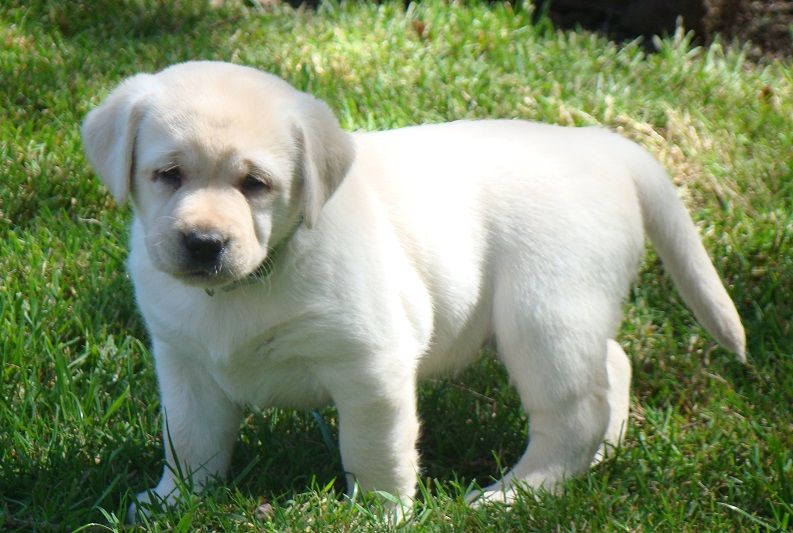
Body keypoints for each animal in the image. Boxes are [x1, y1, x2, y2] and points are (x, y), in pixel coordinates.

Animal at [81, 61, 745, 518]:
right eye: (168, 174)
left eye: (255, 184)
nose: (203, 243)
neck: (256, 278)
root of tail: (604, 145)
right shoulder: (185, 364)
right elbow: (191, 442)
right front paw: (173, 503)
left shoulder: (371, 366)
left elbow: (373, 451)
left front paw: (378, 514)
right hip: (567, 315)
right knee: (612, 367)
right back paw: (602, 455)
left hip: (545, 314)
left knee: (572, 415)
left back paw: (512, 496)